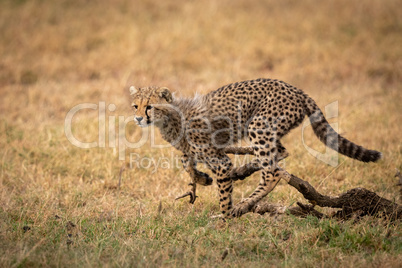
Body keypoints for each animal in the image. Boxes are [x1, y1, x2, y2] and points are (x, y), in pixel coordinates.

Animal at [130, 78, 382, 218]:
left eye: (149, 106)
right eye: (135, 106)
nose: (138, 118)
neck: (171, 118)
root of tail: (297, 90)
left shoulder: (220, 159)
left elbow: (223, 193)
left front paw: (224, 219)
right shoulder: (207, 152)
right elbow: (186, 161)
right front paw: (202, 179)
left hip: (259, 125)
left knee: (272, 171)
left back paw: (243, 205)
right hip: (266, 130)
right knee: (279, 153)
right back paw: (243, 172)